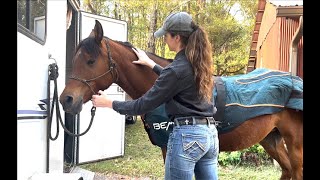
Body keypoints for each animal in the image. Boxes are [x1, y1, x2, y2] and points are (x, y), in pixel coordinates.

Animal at [59, 20, 302, 179]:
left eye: (90, 61)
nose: (66, 99)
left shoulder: (170, 150)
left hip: (294, 142)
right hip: (271, 139)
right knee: (287, 170)